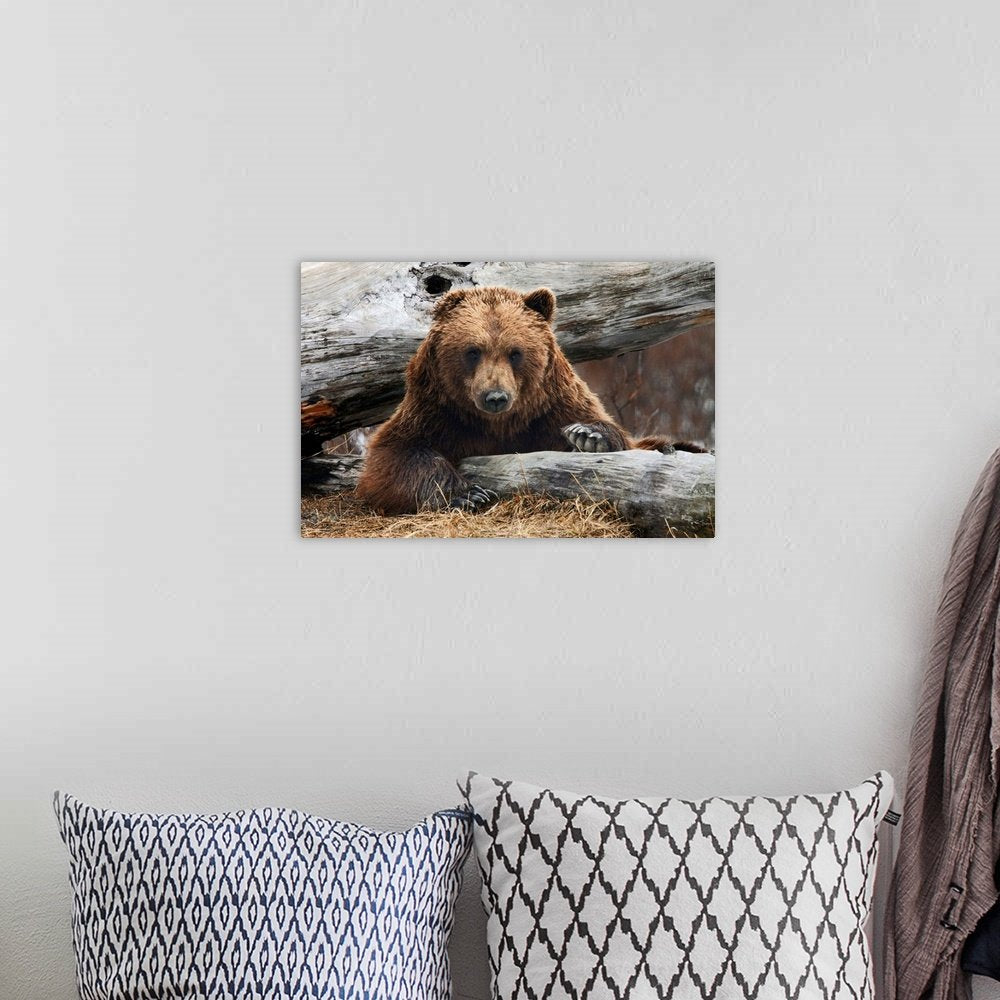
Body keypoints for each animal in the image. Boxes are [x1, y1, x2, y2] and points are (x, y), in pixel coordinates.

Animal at [355, 285, 696, 514]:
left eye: (515, 352)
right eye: (472, 351)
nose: (495, 397)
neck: (497, 425)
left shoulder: (551, 408)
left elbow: (610, 431)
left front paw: (588, 435)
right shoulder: (437, 412)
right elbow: (394, 456)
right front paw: (467, 495)